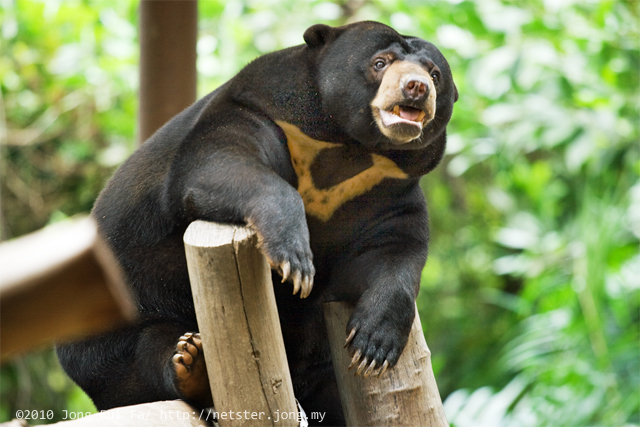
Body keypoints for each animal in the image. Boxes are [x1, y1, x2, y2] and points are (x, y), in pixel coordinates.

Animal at [55, 21, 456, 426]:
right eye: (380, 62)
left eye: (435, 74)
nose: (417, 87)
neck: (350, 148)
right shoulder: (261, 113)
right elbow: (216, 162)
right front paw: (295, 261)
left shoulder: (387, 193)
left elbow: (395, 250)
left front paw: (373, 346)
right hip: (112, 333)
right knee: (144, 356)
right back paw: (191, 365)